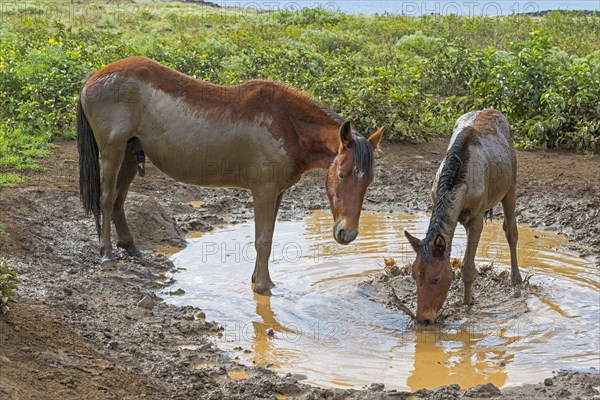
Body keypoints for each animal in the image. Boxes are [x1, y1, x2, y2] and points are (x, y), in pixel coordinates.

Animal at [77, 55, 384, 294]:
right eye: (342, 174)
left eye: (368, 181)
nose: (348, 233)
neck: (289, 124)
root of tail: (96, 76)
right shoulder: (263, 191)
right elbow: (262, 240)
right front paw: (263, 287)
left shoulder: (277, 193)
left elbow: (269, 237)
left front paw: (260, 280)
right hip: (113, 151)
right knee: (106, 199)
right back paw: (107, 254)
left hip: (130, 153)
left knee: (119, 199)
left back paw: (131, 247)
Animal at [404, 110, 520, 324]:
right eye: (414, 276)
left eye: (436, 278)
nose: (423, 319)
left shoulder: (477, 219)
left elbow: (467, 268)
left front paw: (466, 306)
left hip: (511, 186)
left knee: (511, 231)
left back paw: (516, 278)